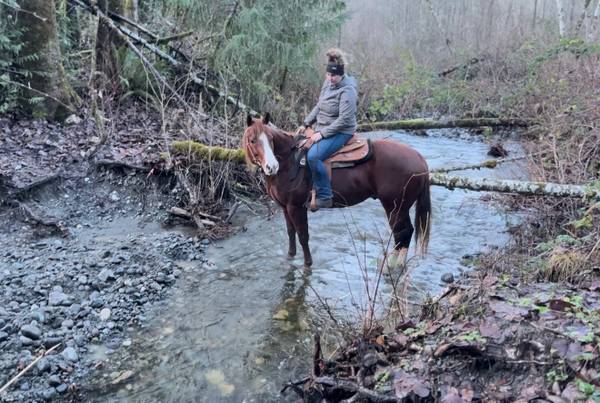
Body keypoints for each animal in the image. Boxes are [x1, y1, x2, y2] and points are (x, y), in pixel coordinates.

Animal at [242, 114, 431, 268]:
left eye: (270, 139)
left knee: (401, 233)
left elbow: (303, 235)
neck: (290, 162)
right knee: (407, 232)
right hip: (401, 207)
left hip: (394, 207)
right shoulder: (284, 207)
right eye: (252, 140)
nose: (271, 167)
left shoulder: (296, 207)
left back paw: (390, 267)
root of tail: (419, 158)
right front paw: (290, 257)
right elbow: (291, 233)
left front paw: (307, 264)